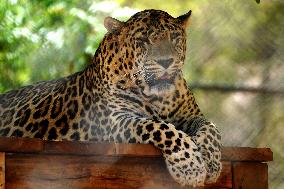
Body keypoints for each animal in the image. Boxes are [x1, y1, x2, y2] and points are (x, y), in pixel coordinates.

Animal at [0, 9, 222, 188]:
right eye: (143, 41)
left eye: (174, 37)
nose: (166, 62)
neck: (159, 100)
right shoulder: (114, 121)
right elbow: (162, 128)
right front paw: (190, 166)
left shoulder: (191, 115)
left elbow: (211, 128)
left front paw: (211, 163)